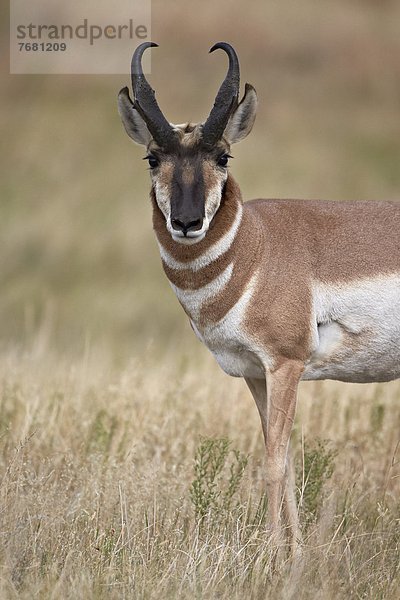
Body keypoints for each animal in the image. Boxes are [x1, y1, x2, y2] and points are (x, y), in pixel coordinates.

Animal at [118, 41, 400, 548]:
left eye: (223, 157)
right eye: (152, 157)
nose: (186, 222)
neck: (255, 245)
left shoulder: (285, 365)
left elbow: (273, 465)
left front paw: (270, 552)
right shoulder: (255, 374)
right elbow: (282, 460)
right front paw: (294, 552)